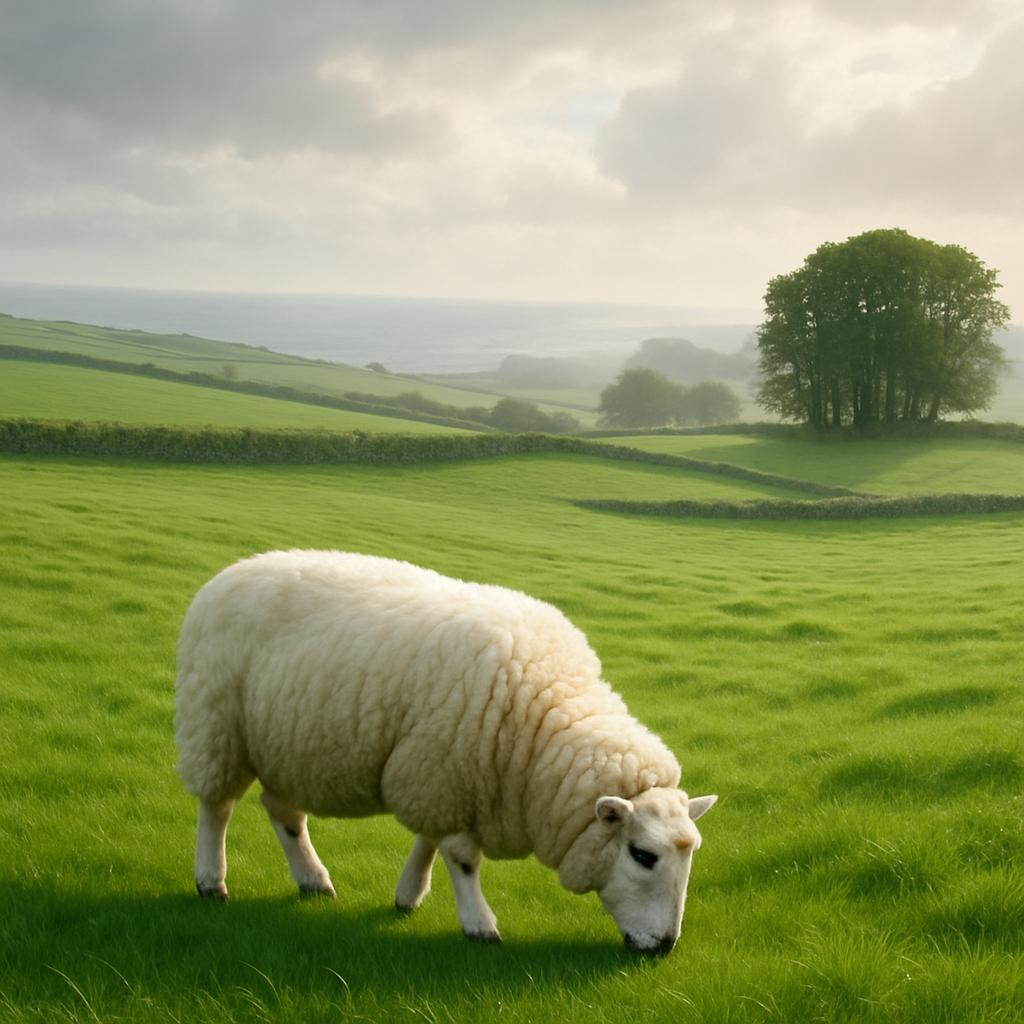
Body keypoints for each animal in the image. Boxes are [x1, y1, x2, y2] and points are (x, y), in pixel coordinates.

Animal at [174, 550, 716, 952]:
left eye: (691, 852)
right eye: (643, 855)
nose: (665, 946)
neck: (547, 719)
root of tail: (224, 575)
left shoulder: (438, 772)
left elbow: (430, 841)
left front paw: (408, 895)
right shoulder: (444, 770)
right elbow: (462, 857)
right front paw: (479, 925)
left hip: (285, 743)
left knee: (282, 810)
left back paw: (313, 879)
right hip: (216, 723)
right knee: (217, 807)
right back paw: (211, 881)